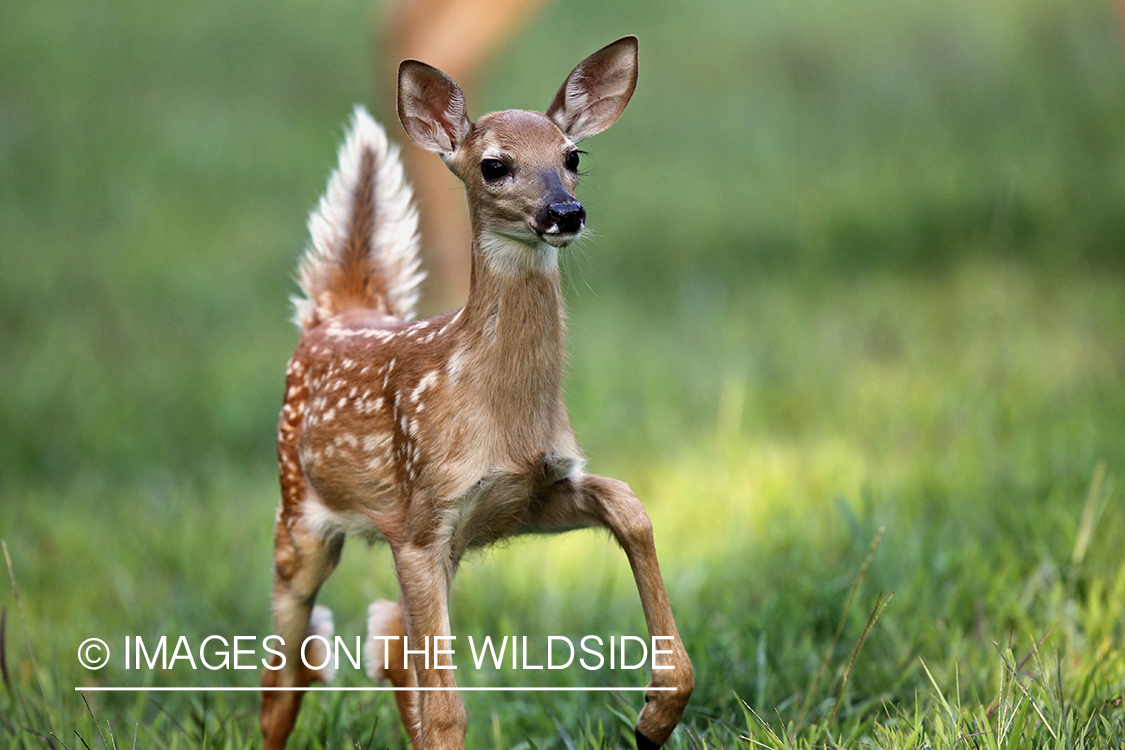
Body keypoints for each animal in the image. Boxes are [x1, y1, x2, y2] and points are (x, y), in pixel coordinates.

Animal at [259, 36, 694, 750]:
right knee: (286, 674)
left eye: (573, 156)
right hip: (297, 516)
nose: (565, 213)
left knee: (385, 635)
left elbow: (629, 505)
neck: (500, 410)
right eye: (494, 166)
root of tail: (336, 313)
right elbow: (445, 712)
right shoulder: (422, 524)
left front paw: (655, 713)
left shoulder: (524, 497)